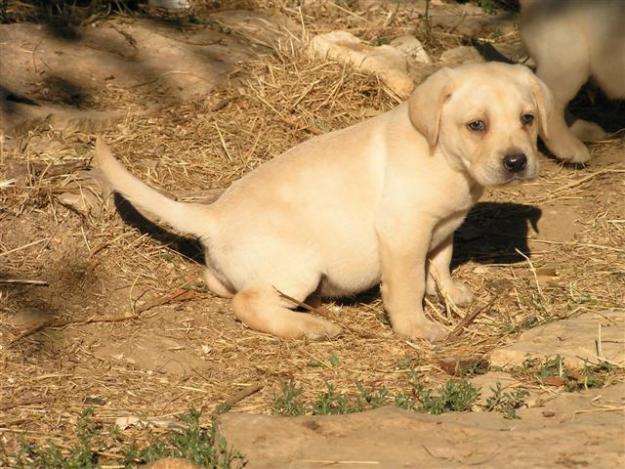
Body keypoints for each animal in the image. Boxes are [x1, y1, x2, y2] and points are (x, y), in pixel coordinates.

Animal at [94, 61, 552, 340]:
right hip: (296, 268)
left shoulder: (442, 228)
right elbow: (408, 285)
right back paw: (311, 327)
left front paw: (452, 294)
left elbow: (439, 263)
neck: (443, 155)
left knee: (223, 286)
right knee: (248, 303)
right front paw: (417, 327)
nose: (517, 162)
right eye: (477, 125)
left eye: (528, 119)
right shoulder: (404, 232)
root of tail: (214, 217)